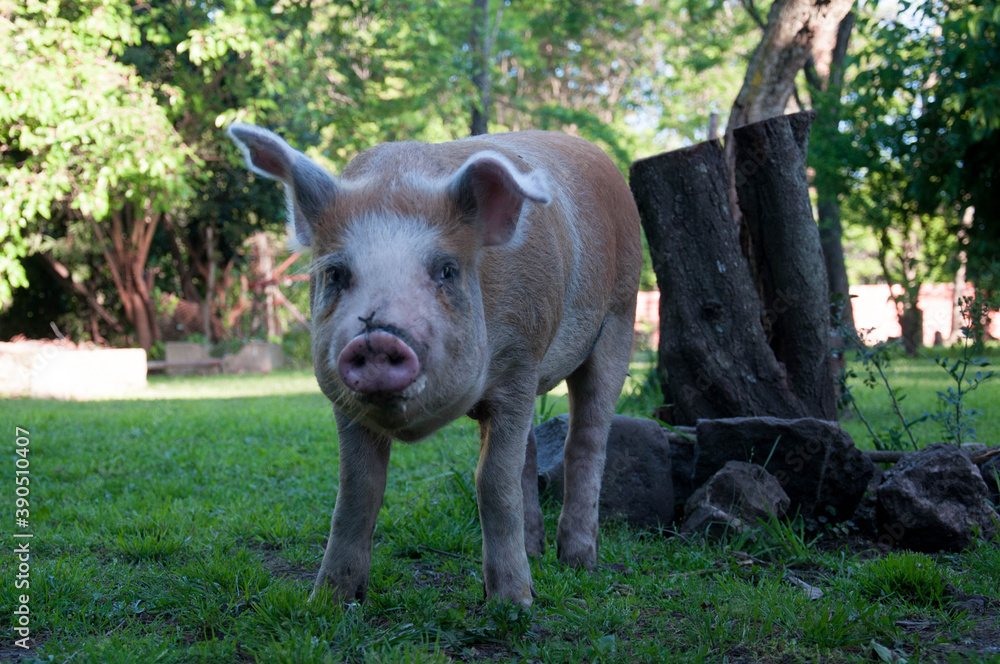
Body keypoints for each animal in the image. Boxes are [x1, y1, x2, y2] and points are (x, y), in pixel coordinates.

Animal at [227, 123, 642, 608]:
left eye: (446, 270)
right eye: (335, 274)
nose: (377, 336)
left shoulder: (520, 361)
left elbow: (492, 481)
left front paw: (514, 604)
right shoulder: (343, 402)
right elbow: (357, 486)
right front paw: (328, 601)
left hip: (621, 313)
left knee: (587, 440)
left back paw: (578, 563)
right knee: (529, 453)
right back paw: (537, 554)